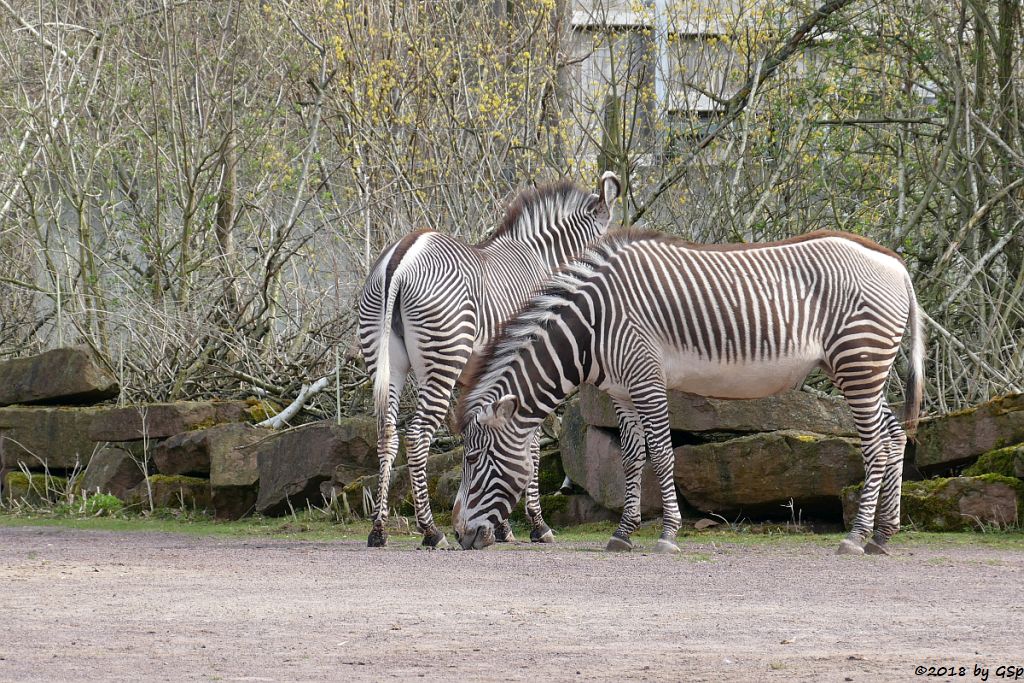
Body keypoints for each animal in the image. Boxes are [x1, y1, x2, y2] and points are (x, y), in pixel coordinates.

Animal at [356, 172, 618, 548]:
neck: (541, 259)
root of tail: (400, 260)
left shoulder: (484, 375)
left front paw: (498, 527)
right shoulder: (532, 362)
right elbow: (530, 443)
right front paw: (536, 524)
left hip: (384, 359)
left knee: (386, 435)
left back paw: (378, 530)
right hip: (442, 360)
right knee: (417, 436)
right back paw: (431, 531)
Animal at [452, 229, 925, 557]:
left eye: (473, 459)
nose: (458, 535)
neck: (591, 327)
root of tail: (895, 262)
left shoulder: (647, 380)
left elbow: (662, 455)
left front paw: (667, 534)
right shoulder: (622, 393)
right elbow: (631, 458)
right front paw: (623, 533)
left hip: (859, 362)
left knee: (876, 446)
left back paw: (856, 536)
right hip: (861, 370)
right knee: (894, 436)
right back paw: (883, 536)